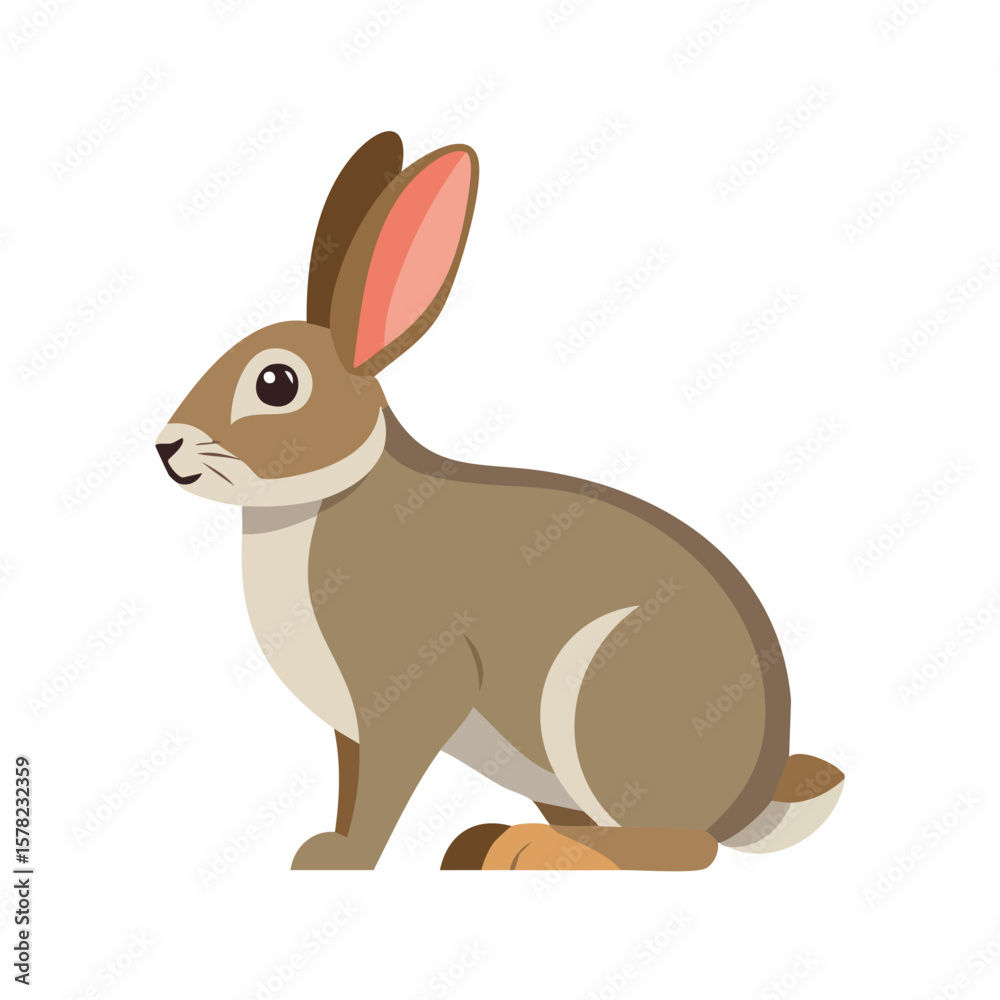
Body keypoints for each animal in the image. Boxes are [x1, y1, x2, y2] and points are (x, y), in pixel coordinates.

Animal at [155, 132, 844, 870]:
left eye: (277, 384)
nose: (167, 447)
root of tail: (752, 799)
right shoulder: (352, 731)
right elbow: (351, 786)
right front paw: (326, 846)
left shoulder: (407, 696)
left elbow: (381, 793)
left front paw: (338, 861)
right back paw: (490, 843)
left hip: (595, 705)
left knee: (681, 848)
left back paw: (537, 852)